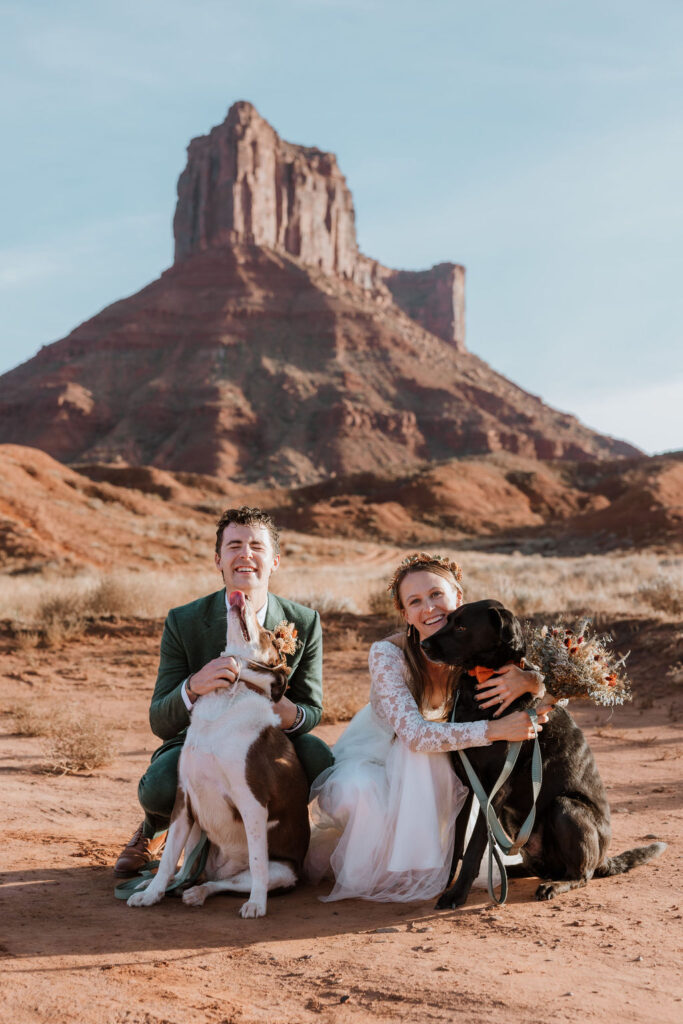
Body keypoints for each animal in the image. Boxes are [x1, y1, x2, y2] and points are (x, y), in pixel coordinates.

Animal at [127, 593, 309, 921]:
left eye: (267, 634)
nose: (243, 595)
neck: (231, 691)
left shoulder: (252, 802)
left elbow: (258, 863)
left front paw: (257, 904)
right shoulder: (184, 799)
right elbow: (168, 857)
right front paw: (151, 895)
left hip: (283, 870)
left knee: (227, 882)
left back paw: (201, 893)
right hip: (198, 836)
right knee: (191, 873)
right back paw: (165, 886)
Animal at [423, 598, 663, 909]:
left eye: (462, 627)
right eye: (447, 619)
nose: (424, 644)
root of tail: (604, 859)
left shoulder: (495, 790)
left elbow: (474, 845)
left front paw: (457, 894)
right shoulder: (466, 785)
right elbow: (456, 844)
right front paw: (446, 885)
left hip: (565, 808)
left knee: (580, 875)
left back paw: (552, 885)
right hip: (516, 822)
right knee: (532, 864)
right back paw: (506, 873)